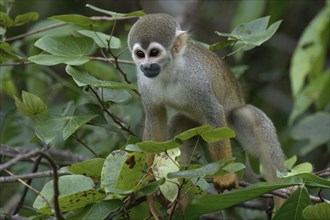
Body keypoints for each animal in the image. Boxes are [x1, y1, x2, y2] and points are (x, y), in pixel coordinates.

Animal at [127, 12, 284, 211]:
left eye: (154, 53)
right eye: (140, 54)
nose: (146, 66)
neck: (168, 70)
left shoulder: (195, 79)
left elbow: (214, 113)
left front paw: (225, 176)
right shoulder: (144, 82)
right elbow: (155, 120)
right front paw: (150, 179)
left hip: (231, 126)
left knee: (250, 118)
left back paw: (283, 195)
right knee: (178, 127)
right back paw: (178, 202)